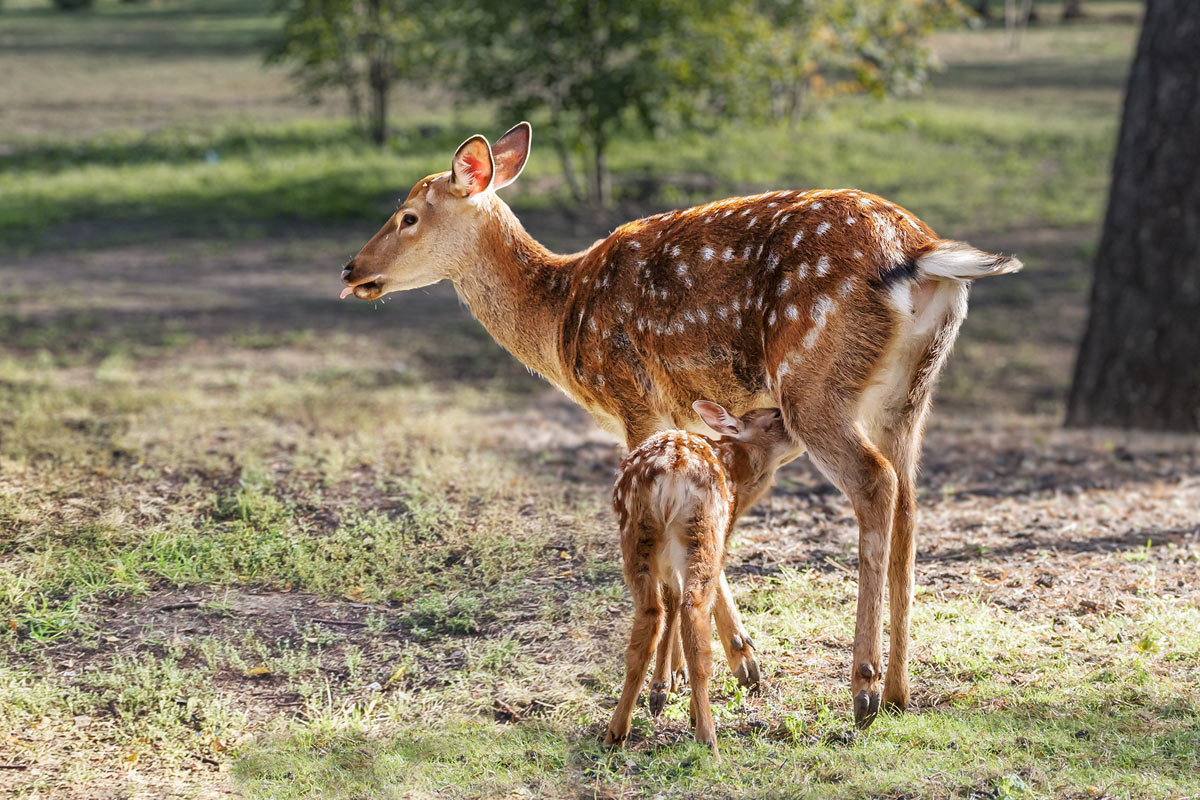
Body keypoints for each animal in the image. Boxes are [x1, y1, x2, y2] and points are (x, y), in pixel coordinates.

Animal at [609, 402, 796, 753]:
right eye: (776, 415)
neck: (737, 472)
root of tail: (672, 469)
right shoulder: (721, 536)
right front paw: (676, 697)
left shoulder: (667, 560)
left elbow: (670, 600)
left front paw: (660, 688)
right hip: (703, 533)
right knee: (694, 612)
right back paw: (706, 734)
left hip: (637, 535)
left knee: (652, 613)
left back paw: (616, 732)